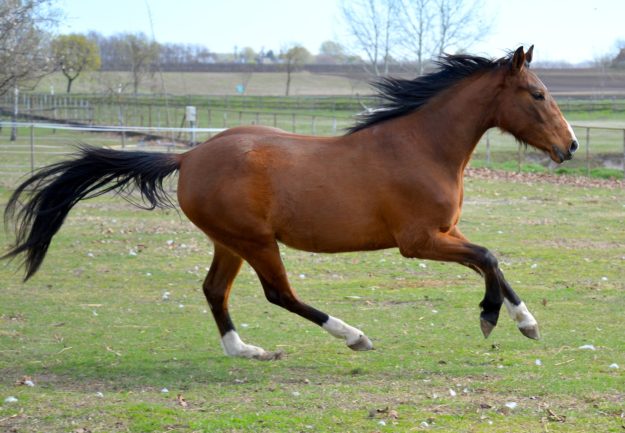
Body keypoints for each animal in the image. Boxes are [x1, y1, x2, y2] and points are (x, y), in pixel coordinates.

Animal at [2, 45, 576, 360]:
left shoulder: (445, 233)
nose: (569, 146)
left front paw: (521, 321)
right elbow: (488, 257)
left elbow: (491, 260)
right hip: (256, 241)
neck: (421, 146)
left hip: (229, 242)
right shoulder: (419, 242)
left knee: (214, 290)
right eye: (538, 94)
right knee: (279, 293)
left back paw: (246, 350)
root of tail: (189, 156)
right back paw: (354, 336)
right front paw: (497, 319)